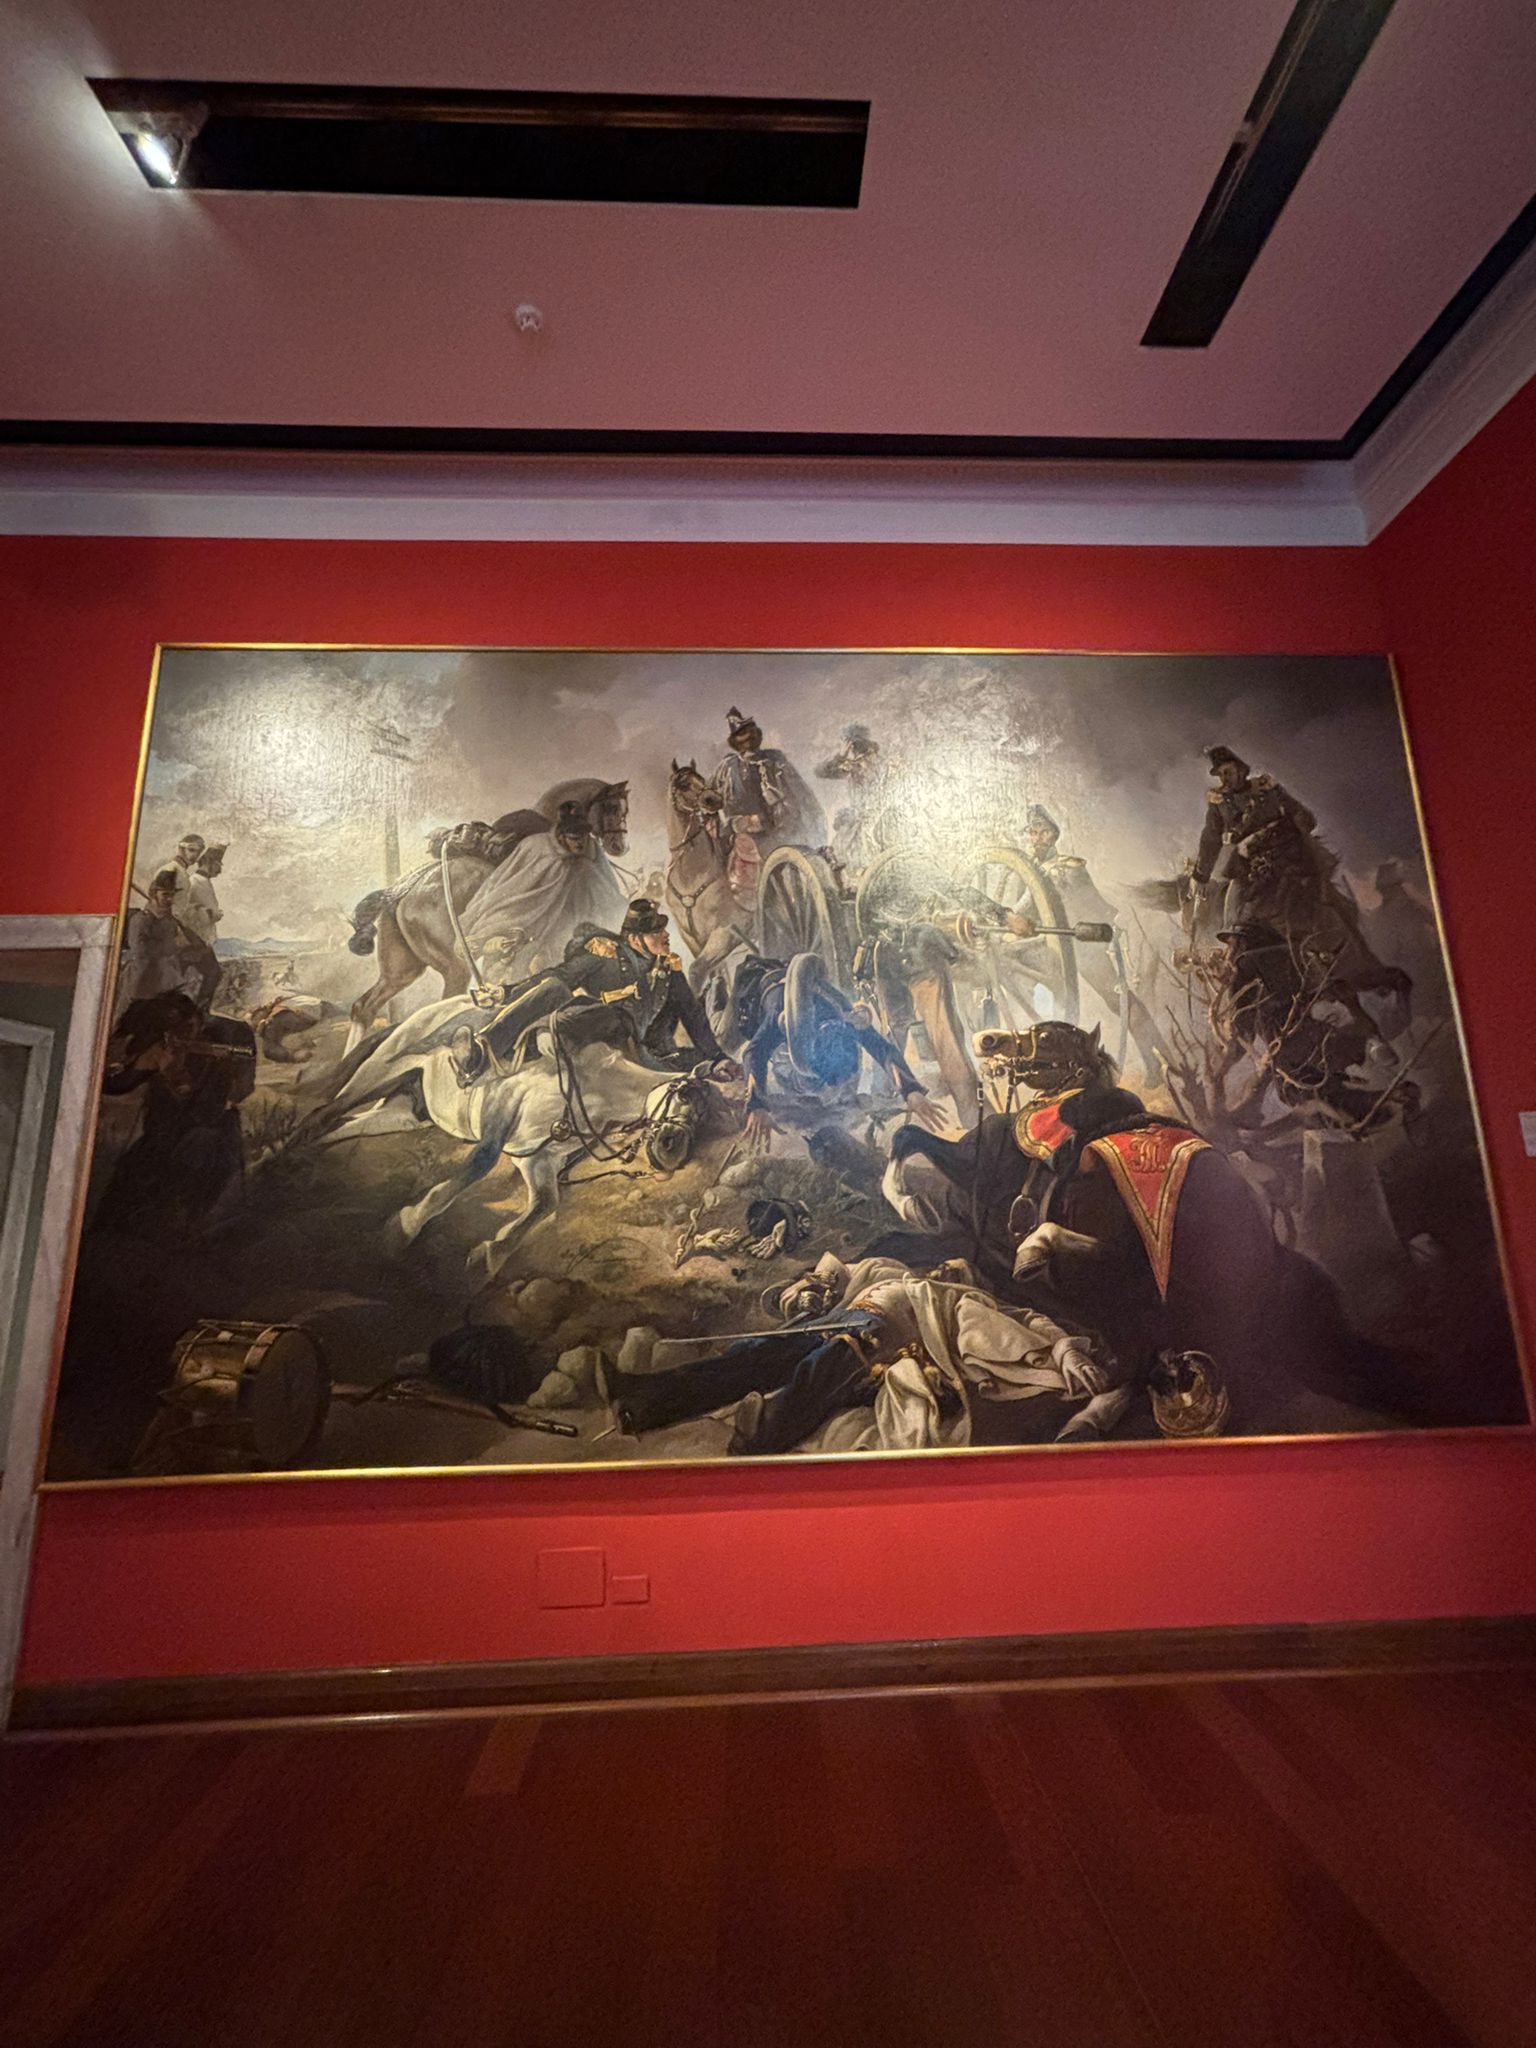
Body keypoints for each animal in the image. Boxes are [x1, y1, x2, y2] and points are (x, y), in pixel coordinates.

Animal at [292, 992, 712, 1282]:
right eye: (686, 1095)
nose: (672, 1152)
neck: (596, 1084)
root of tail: (430, 1009)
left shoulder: (537, 1157)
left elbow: (545, 1204)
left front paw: (490, 1254)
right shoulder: (500, 1112)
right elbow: (474, 1170)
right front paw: (403, 1229)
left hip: (405, 1111)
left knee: (339, 1127)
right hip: (379, 1071)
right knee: (323, 1114)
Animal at [344, 777, 630, 1048]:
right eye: (613, 807)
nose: (619, 846)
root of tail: (403, 888)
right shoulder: (550, 938)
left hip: (402, 971)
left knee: (364, 1007)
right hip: (455, 968)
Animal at [663, 759, 753, 994]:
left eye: (702, 779)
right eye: (683, 784)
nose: (713, 799)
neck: (691, 875)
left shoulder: (726, 932)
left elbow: (696, 971)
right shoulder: (693, 940)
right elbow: (712, 974)